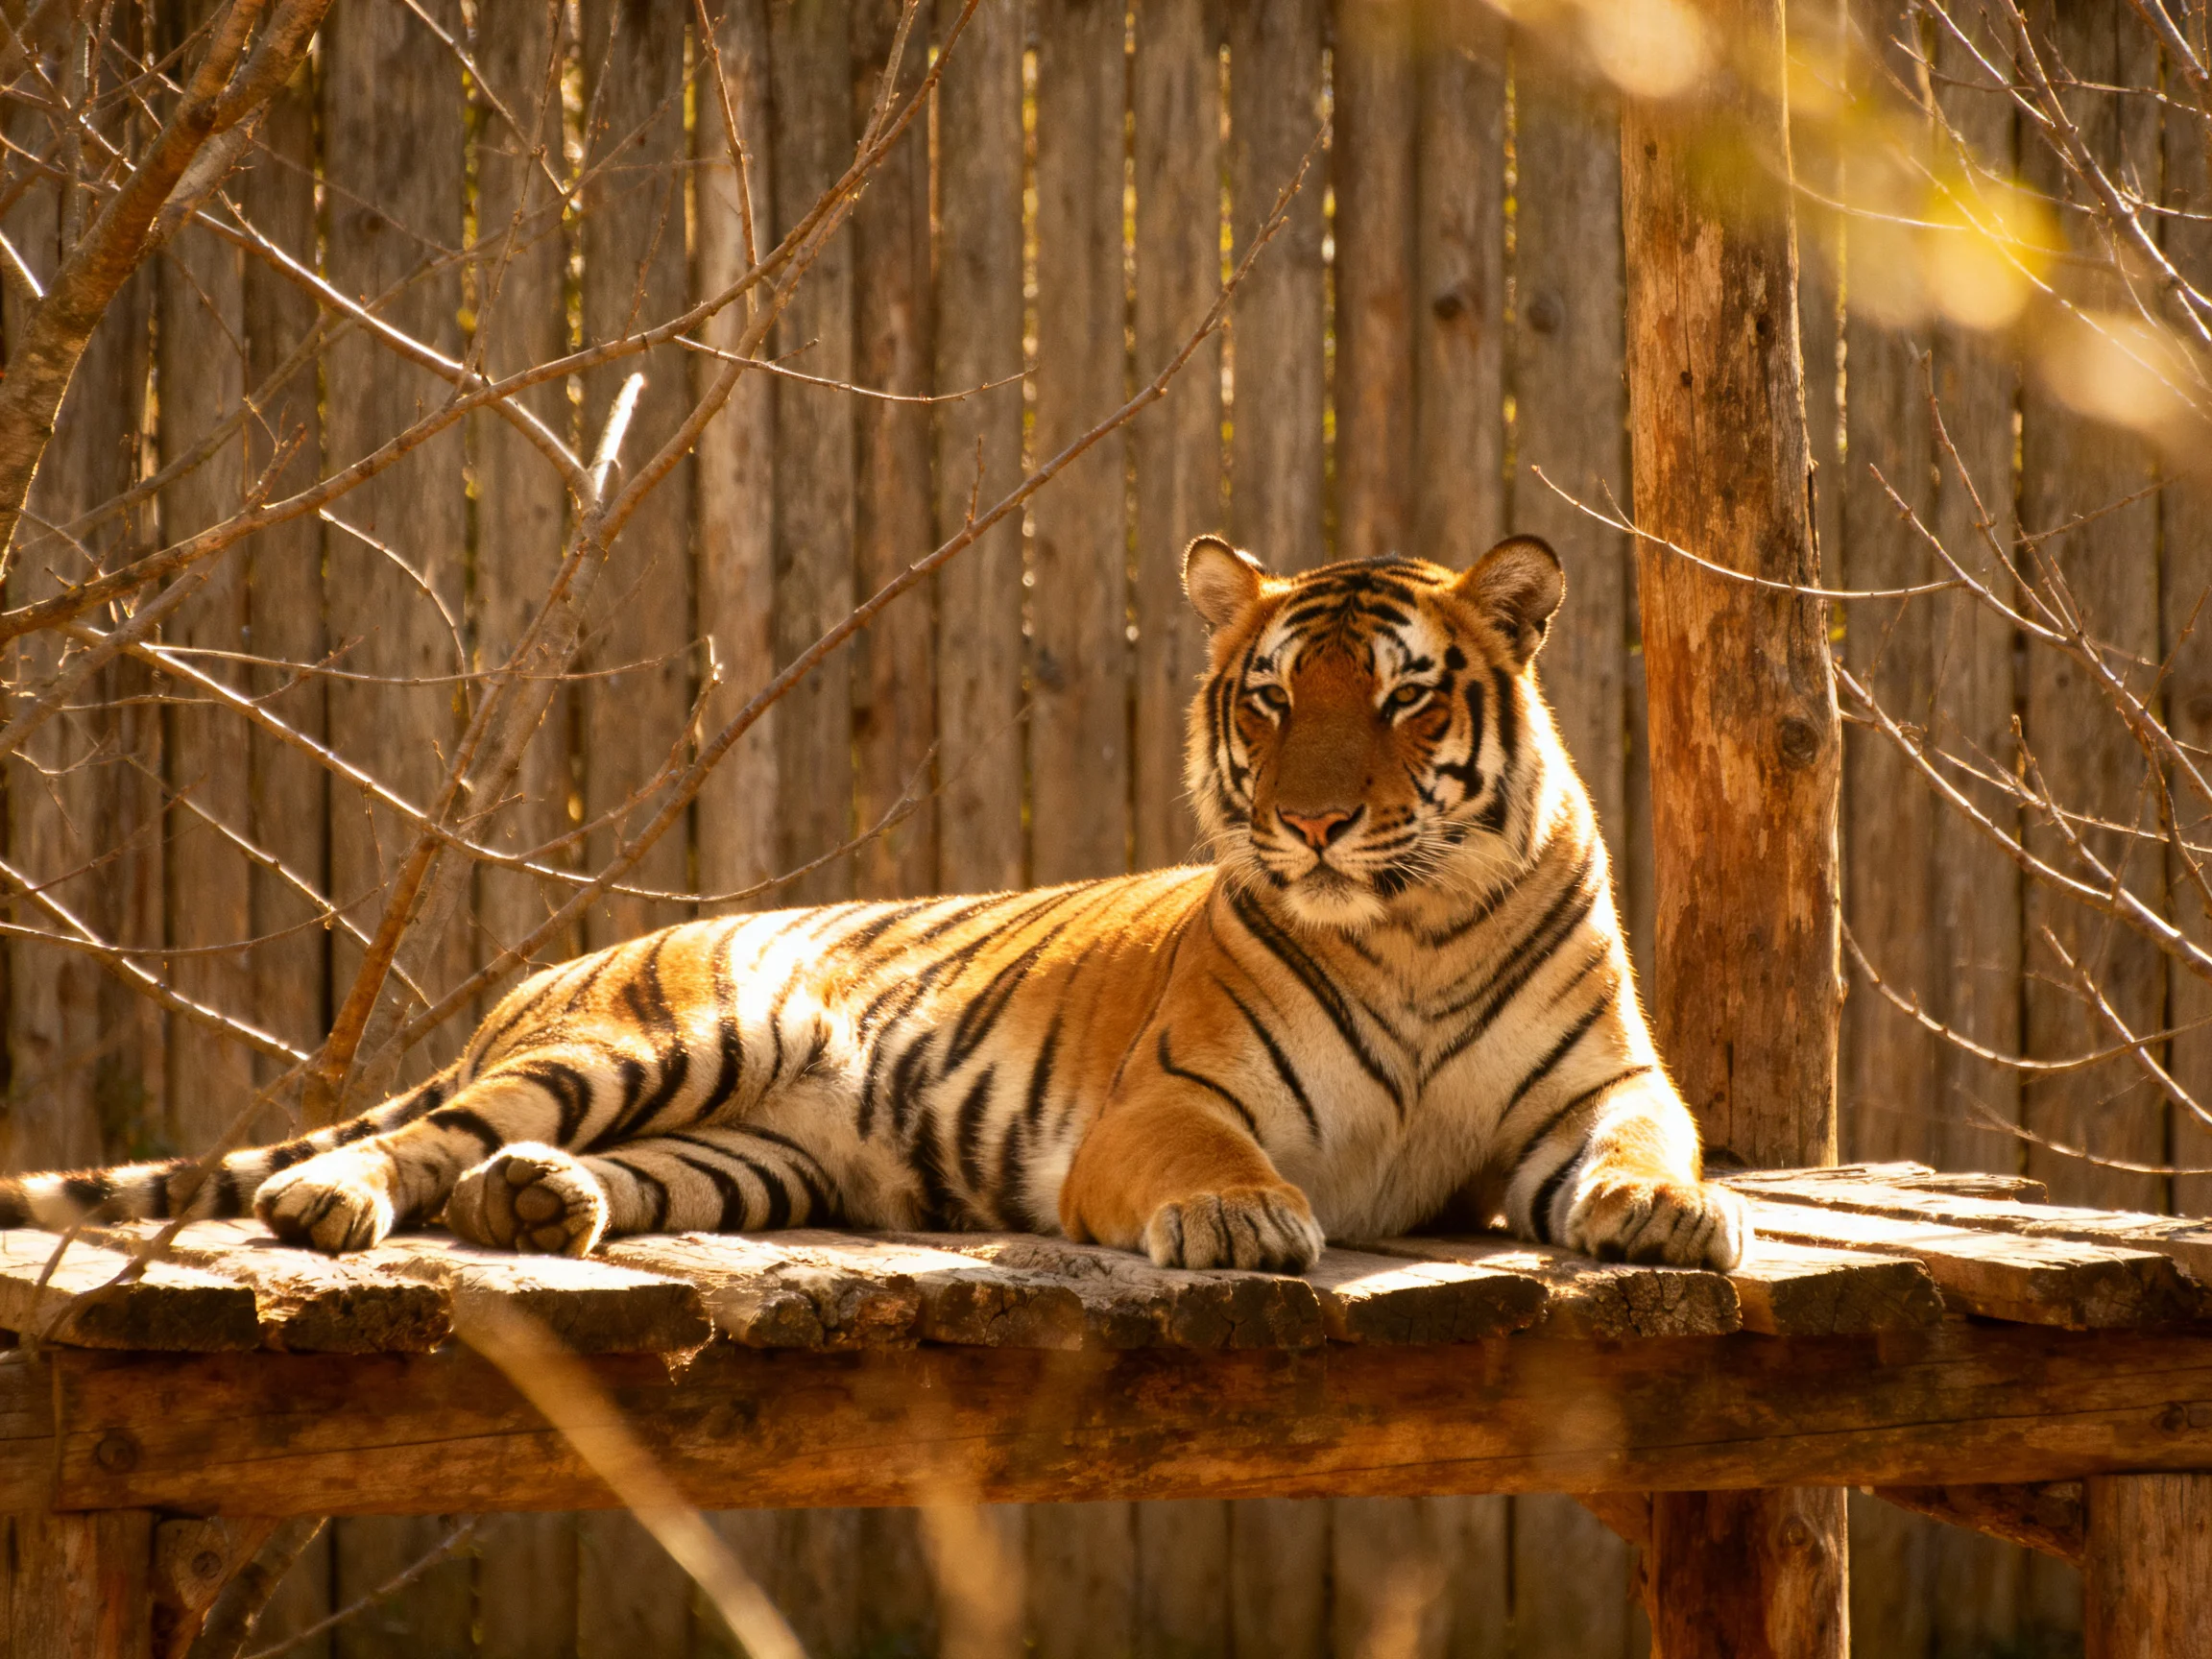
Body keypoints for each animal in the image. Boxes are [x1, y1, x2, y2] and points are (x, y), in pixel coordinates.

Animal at [0, 534, 1748, 1273]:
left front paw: (1669, 1211)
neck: (1406, 927)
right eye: (1268, 698)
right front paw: (1244, 1218)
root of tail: (563, 967)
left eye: (1397, 696)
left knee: (573, 1171)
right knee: (422, 1134)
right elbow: (1214, 1157)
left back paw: (538, 1205)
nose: (1313, 820)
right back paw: (333, 1201)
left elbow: (1646, 1145)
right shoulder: (1164, 1101)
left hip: (754, 1152)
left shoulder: (1601, 1089)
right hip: (666, 1039)